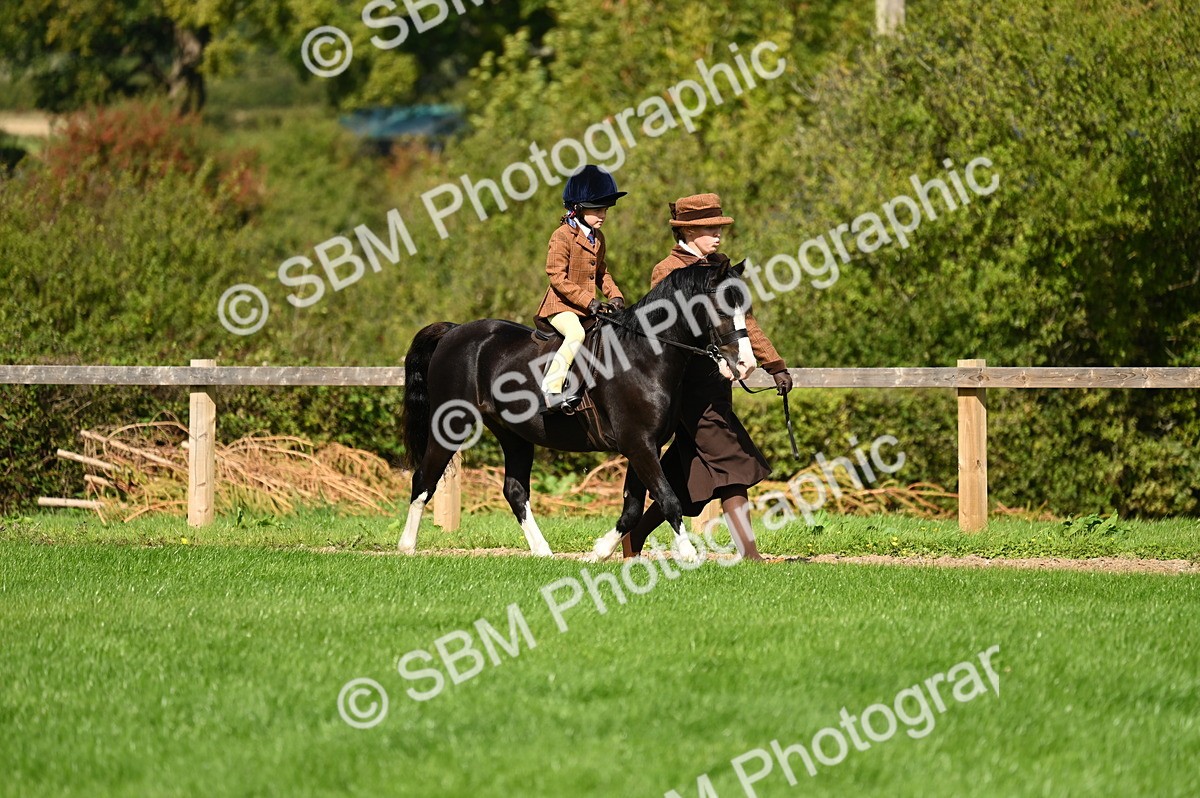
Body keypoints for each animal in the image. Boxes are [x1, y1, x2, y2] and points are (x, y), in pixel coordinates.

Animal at [398, 259, 756, 561]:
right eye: (721, 309)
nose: (746, 365)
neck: (643, 355)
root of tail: (454, 331)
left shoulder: (644, 446)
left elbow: (632, 508)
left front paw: (599, 552)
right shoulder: (639, 445)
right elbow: (668, 499)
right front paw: (689, 555)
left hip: (513, 434)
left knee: (515, 491)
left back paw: (543, 551)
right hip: (452, 424)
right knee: (423, 481)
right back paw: (406, 547)